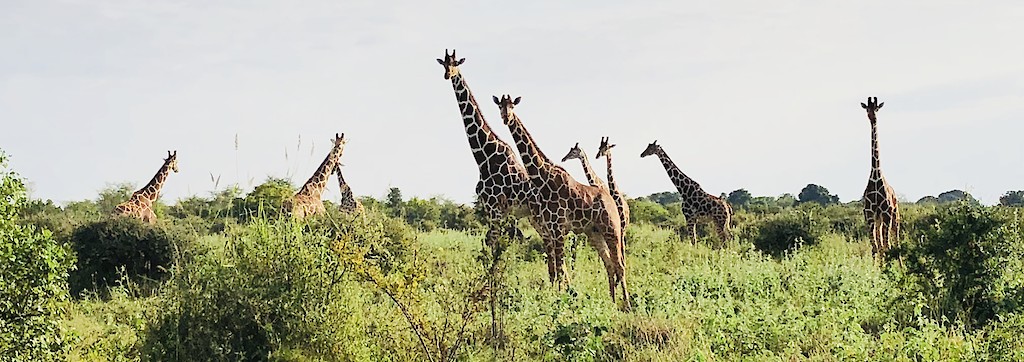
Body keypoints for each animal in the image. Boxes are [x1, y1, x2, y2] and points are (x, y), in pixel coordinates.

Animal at [491, 94, 626, 308]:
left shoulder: (558, 229)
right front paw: (557, 299)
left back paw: (626, 305)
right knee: (609, 264)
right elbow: (556, 270)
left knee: (620, 265)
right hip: (594, 232)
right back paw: (612, 303)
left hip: (612, 229)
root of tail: (612, 200)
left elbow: (559, 269)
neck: (542, 179)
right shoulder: (552, 230)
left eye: (512, 106)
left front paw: (560, 301)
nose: (506, 118)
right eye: (500, 107)